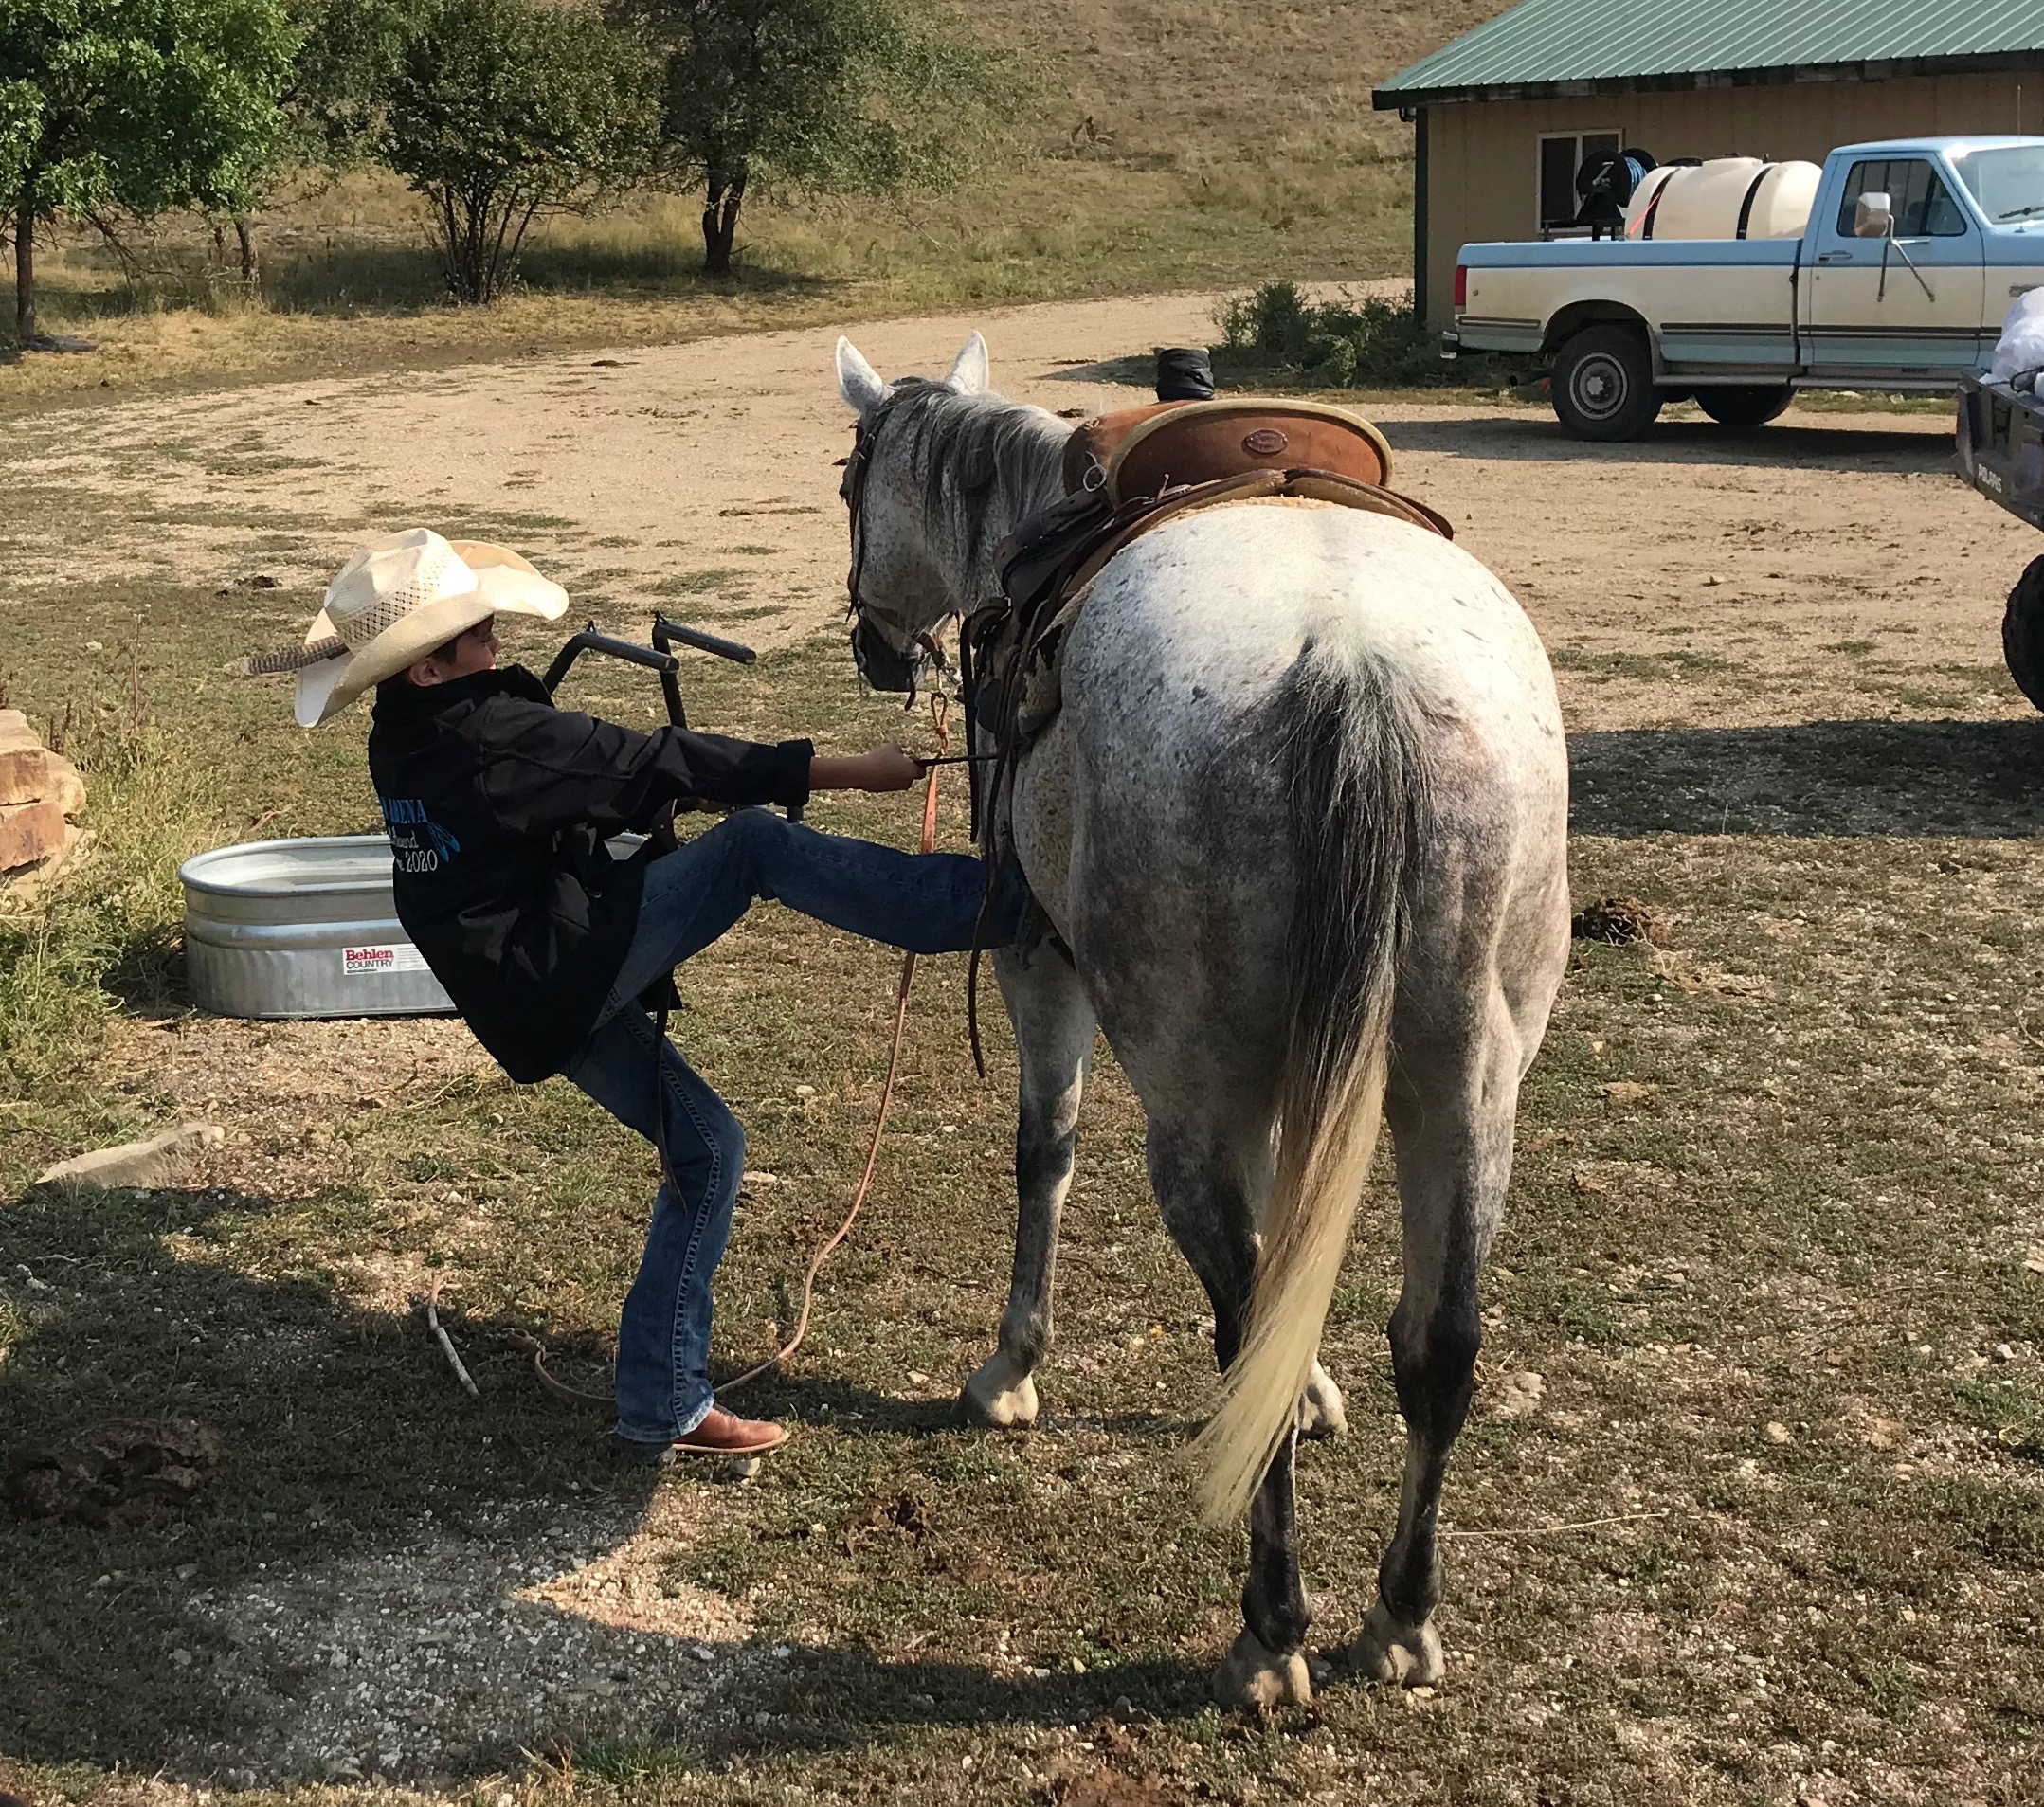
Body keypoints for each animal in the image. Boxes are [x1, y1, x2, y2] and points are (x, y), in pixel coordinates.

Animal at [832, 332, 1572, 1707]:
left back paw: (1270, 1630)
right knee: (1439, 1341)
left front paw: (1009, 1370)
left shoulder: (1035, 957)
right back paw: (1396, 1616)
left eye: (849, 481)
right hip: (1468, 1081)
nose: (872, 642)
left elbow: (1046, 1155)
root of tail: (1356, 667)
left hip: (1186, 1090)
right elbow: (1296, 1235)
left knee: (1235, 1313)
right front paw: (1316, 1379)